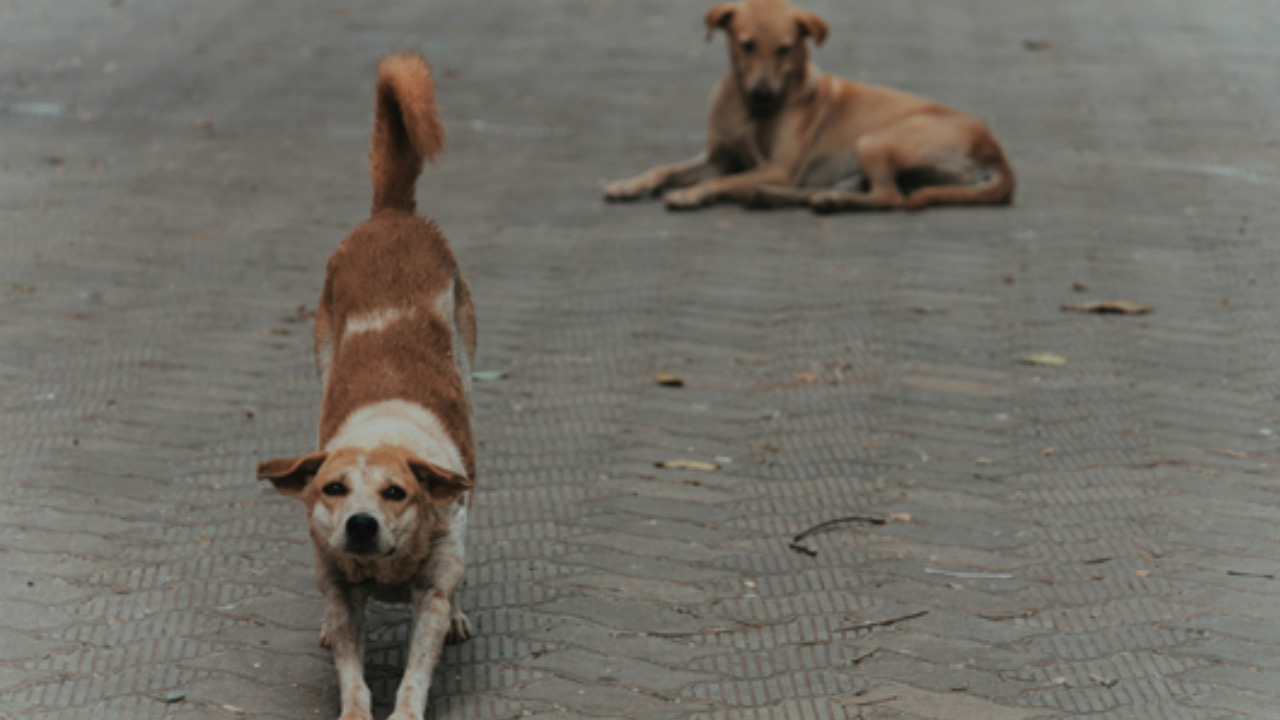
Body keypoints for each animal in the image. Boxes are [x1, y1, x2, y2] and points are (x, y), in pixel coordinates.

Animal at [257, 53, 478, 717]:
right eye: (332, 488)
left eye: (396, 493)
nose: (359, 524)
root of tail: (392, 215)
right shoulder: (336, 585)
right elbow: (351, 668)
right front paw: (355, 704)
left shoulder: (432, 587)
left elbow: (416, 668)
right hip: (322, 352)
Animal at [604, 0, 1013, 211]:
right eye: (746, 45)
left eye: (785, 49)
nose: (763, 93)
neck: (748, 112)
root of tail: (994, 146)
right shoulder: (718, 157)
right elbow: (667, 168)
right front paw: (629, 184)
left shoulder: (779, 167)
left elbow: (721, 180)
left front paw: (692, 192)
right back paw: (791, 196)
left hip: (876, 140)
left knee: (891, 198)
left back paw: (821, 198)